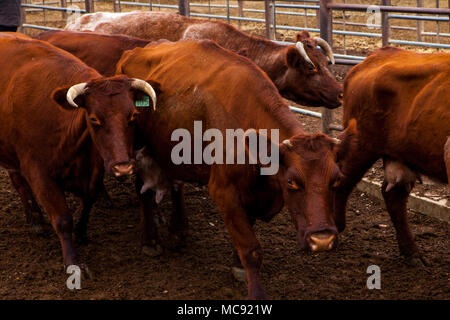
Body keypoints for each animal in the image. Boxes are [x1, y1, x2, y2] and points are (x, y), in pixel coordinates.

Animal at [0, 35, 156, 276]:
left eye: (133, 116)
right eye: (94, 119)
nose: (123, 167)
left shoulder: (94, 169)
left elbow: (89, 199)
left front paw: (81, 232)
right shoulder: (39, 173)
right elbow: (63, 220)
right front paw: (73, 262)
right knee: (19, 182)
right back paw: (35, 218)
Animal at [116, 39, 356, 298]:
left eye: (336, 180)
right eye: (291, 181)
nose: (322, 240)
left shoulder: (252, 193)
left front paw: (237, 265)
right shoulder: (224, 192)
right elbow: (250, 248)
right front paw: (255, 291)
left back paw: (178, 230)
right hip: (137, 145)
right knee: (143, 189)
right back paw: (150, 240)